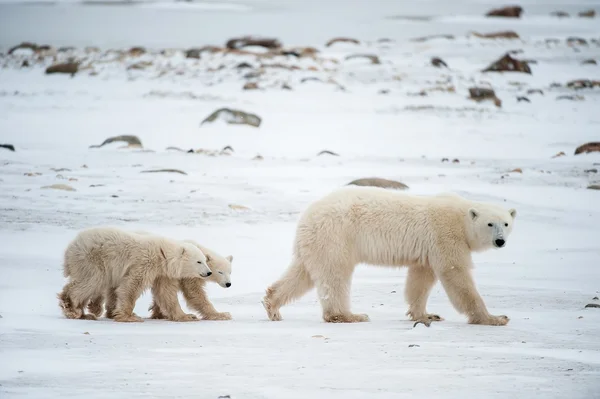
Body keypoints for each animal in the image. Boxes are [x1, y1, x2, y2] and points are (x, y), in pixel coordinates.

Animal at [262, 188, 516, 328]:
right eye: (490, 223)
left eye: (506, 223)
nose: (500, 241)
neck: (461, 217)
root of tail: (307, 215)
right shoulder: (445, 235)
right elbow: (456, 274)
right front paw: (495, 318)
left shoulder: (428, 249)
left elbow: (420, 279)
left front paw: (426, 314)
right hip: (336, 236)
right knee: (335, 276)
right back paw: (350, 315)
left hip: (315, 243)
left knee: (302, 273)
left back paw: (272, 304)